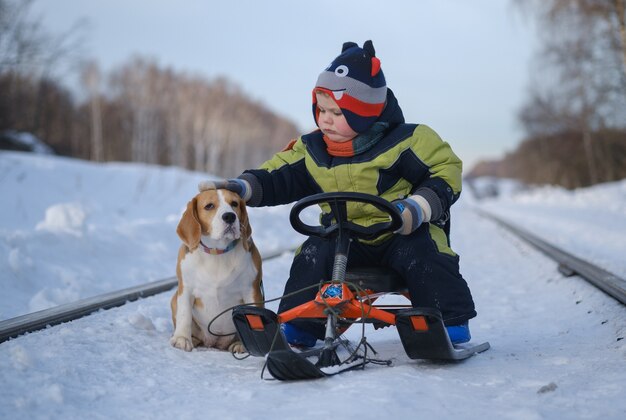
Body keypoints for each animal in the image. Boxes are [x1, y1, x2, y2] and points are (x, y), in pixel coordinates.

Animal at [169, 189, 262, 352]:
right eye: (209, 206)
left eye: (234, 203)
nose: (230, 216)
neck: (218, 253)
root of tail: (216, 343)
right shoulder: (185, 288)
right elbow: (184, 315)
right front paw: (182, 339)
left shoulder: (252, 290)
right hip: (174, 299)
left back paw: (240, 345)